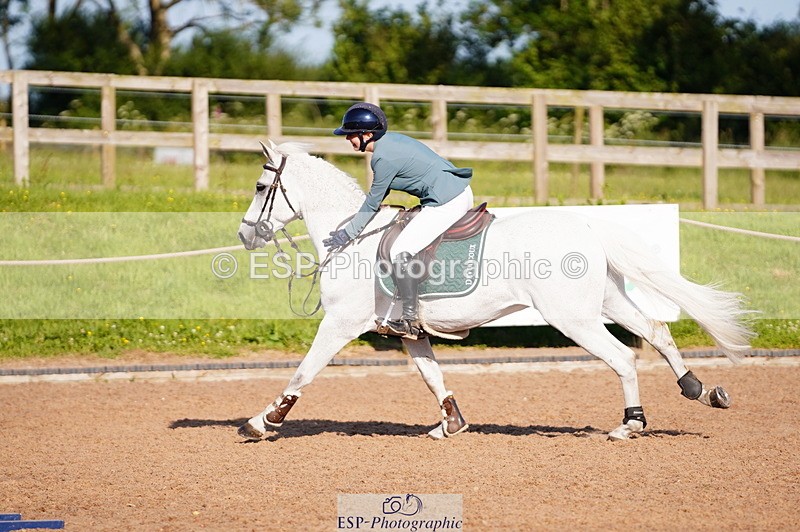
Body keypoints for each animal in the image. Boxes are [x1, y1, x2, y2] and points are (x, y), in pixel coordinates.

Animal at [236, 140, 754, 441]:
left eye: (261, 185)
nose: (244, 235)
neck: (354, 237)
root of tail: (587, 223)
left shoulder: (340, 323)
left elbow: (303, 372)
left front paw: (264, 422)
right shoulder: (409, 333)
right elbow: (433, 377)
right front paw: (451, 425)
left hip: (574, 318)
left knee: (624, 356)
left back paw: (630, 424)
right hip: (606, 301)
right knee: (658, 331)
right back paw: (700, 391)